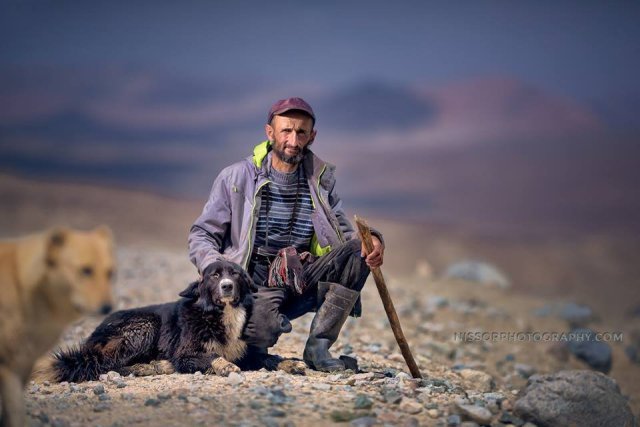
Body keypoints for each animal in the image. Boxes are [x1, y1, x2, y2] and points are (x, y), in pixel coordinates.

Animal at [39, 260, 260, 384]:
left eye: (235, 274)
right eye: (215, 275)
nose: (227, 286)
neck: (219, 314)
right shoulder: (184, 355)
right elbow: (213, 355)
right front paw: (226, 366)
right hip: (146, 325)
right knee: (108, 365)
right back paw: (151, 367)